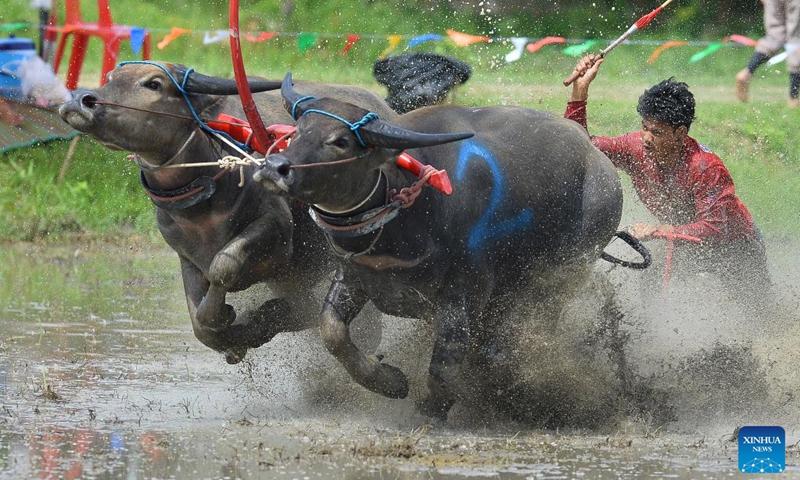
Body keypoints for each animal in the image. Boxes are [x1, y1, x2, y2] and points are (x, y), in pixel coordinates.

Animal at [59, 61, 402, 364]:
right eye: (110, 77)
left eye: (153, 84)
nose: (81, 100)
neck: (201, 201)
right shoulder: (187, 257)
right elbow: (198, 321)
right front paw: (230, 337)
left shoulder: (277, 230)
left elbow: (223, 267)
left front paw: (228, 319)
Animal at [253, 73, 624, 420]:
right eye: (298, 132)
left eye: (340, 141)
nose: (274, 168)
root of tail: (596, 155)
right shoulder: (353, 275)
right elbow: (332, 331)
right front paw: (389, 382)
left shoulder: (465, 292)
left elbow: (443, 364)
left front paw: (434, 407)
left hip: (569, 270)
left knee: (534, 331)